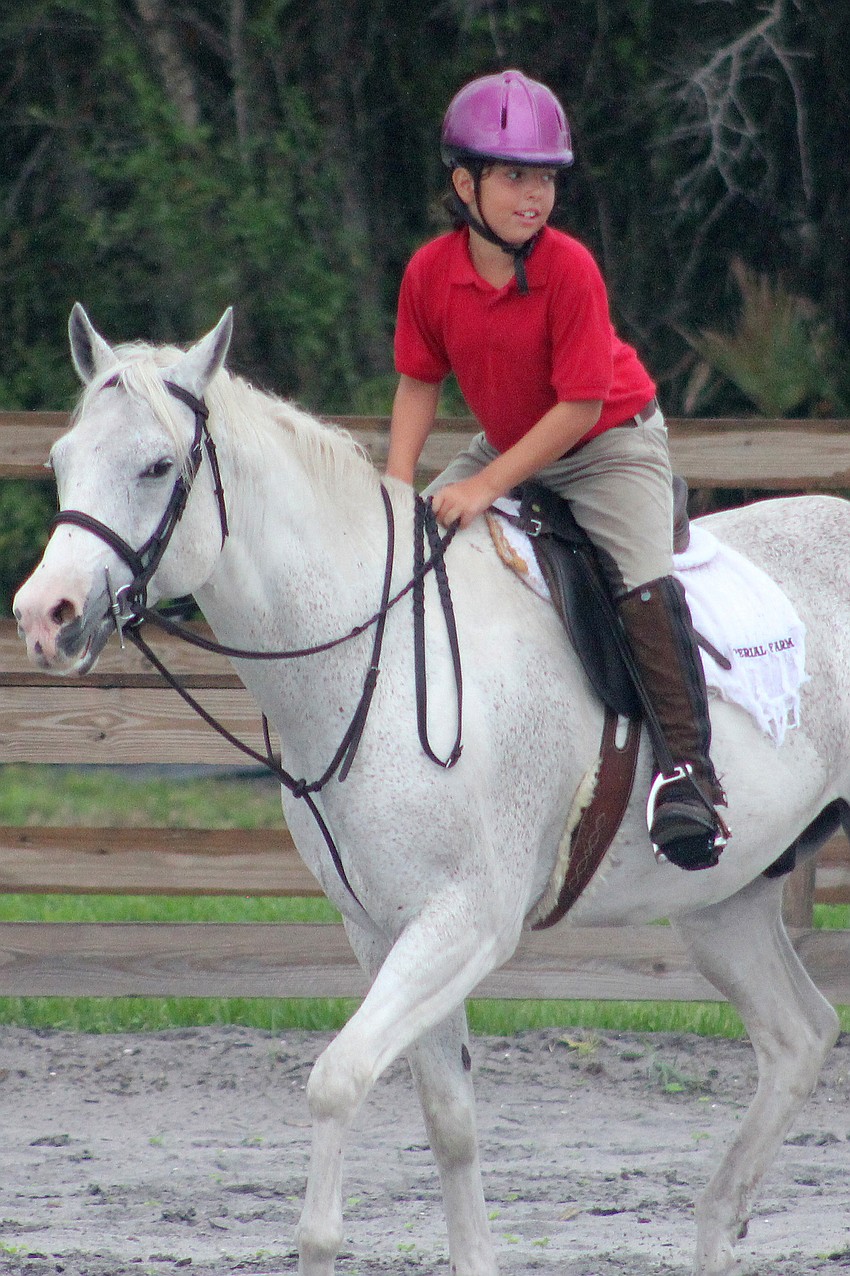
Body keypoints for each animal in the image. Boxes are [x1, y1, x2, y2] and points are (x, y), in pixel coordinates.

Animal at [12, 305, 849, 1276]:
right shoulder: (382, 930)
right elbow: (448, 1118)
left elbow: (338, 1079)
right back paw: (718, 1224)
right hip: (725, 905)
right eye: (61, 458)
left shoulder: (464, 924)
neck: (367, 654)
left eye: (154, 467)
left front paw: (318, 1238)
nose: (44, 616)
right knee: (798, 1036)